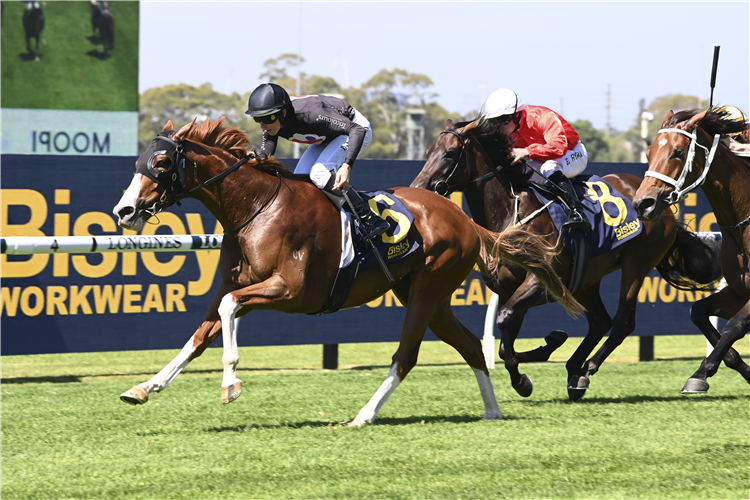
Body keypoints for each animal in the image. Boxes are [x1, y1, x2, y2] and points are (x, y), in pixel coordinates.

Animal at [113, 118, 580, 426]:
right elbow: (198, 336)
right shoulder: (239, 284)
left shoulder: (290, 291)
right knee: (468, 346)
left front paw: (230, 383)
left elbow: (227, 312)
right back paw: (492, 410)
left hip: (428, 290)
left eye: (160, 162)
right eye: (138, 162)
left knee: (406, 356)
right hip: (424, 295)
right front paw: (144, 387)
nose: (124, 211)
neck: (256, 207)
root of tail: (465, 221)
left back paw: (364, 414)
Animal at [412, 119, 724, 400]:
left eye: (450, 153)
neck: (509, 213)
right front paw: (540, 355)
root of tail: (663, 206)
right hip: (588, 277)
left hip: (636, 265)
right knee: (600, 321)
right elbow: (504, 337)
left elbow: (505, 320)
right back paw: (575, 370)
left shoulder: (544, 282)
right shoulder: (508, 288)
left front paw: (525, 377)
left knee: (622, 323)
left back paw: (584, 371)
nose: (419, 186)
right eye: (428, 151)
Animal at [636, 109, 750, 394]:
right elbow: (698, 312)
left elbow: (734, 326)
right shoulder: (738, 291)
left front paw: (700, 373)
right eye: (649, 152)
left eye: (678, 152)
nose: (643, 203)